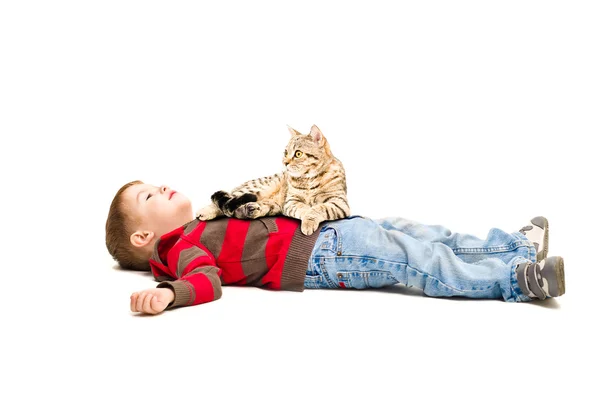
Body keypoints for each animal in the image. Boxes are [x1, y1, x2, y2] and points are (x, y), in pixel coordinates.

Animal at [195, 125, 350, 234]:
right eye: (285, 152)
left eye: (298, 154)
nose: (285, 162)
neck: (309, 178)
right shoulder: (291, 201)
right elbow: (304, 208)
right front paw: (307, 219)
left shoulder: (339, 203)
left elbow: (319, 208)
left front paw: (309, 220)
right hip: (258, 188)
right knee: (224, 200)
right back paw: (205, 212)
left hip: (271, 204)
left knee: (234, 209)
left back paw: (250, 209)